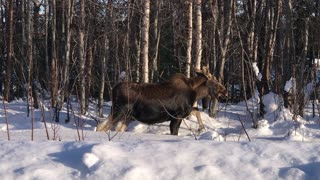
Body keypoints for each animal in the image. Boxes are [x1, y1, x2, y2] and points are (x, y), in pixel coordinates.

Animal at [95, 66, 228, 135]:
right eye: (216, 81)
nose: (225, 92)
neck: (195, 93)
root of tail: (113, 89)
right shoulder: (177, 116)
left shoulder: (186, 111)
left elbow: (196, 110)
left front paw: (201, 128)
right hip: (119, 112)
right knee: (102, 128)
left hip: (126, 117)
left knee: (106, 127)